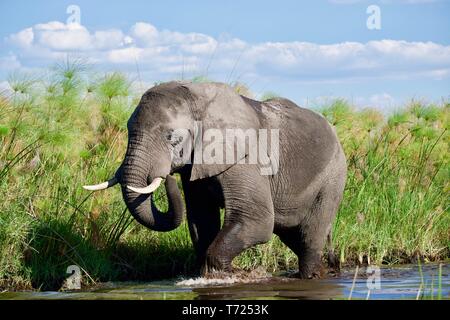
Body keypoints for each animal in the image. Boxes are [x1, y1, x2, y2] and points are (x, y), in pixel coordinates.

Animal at [82, 81, 346, 278]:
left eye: (171, 137)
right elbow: (202, 220)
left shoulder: (246, 159)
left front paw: (224, 274)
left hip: (333, 178)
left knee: (309, 238)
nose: (167, 177)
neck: (197, 98)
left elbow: (256, 220)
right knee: (295, 237)